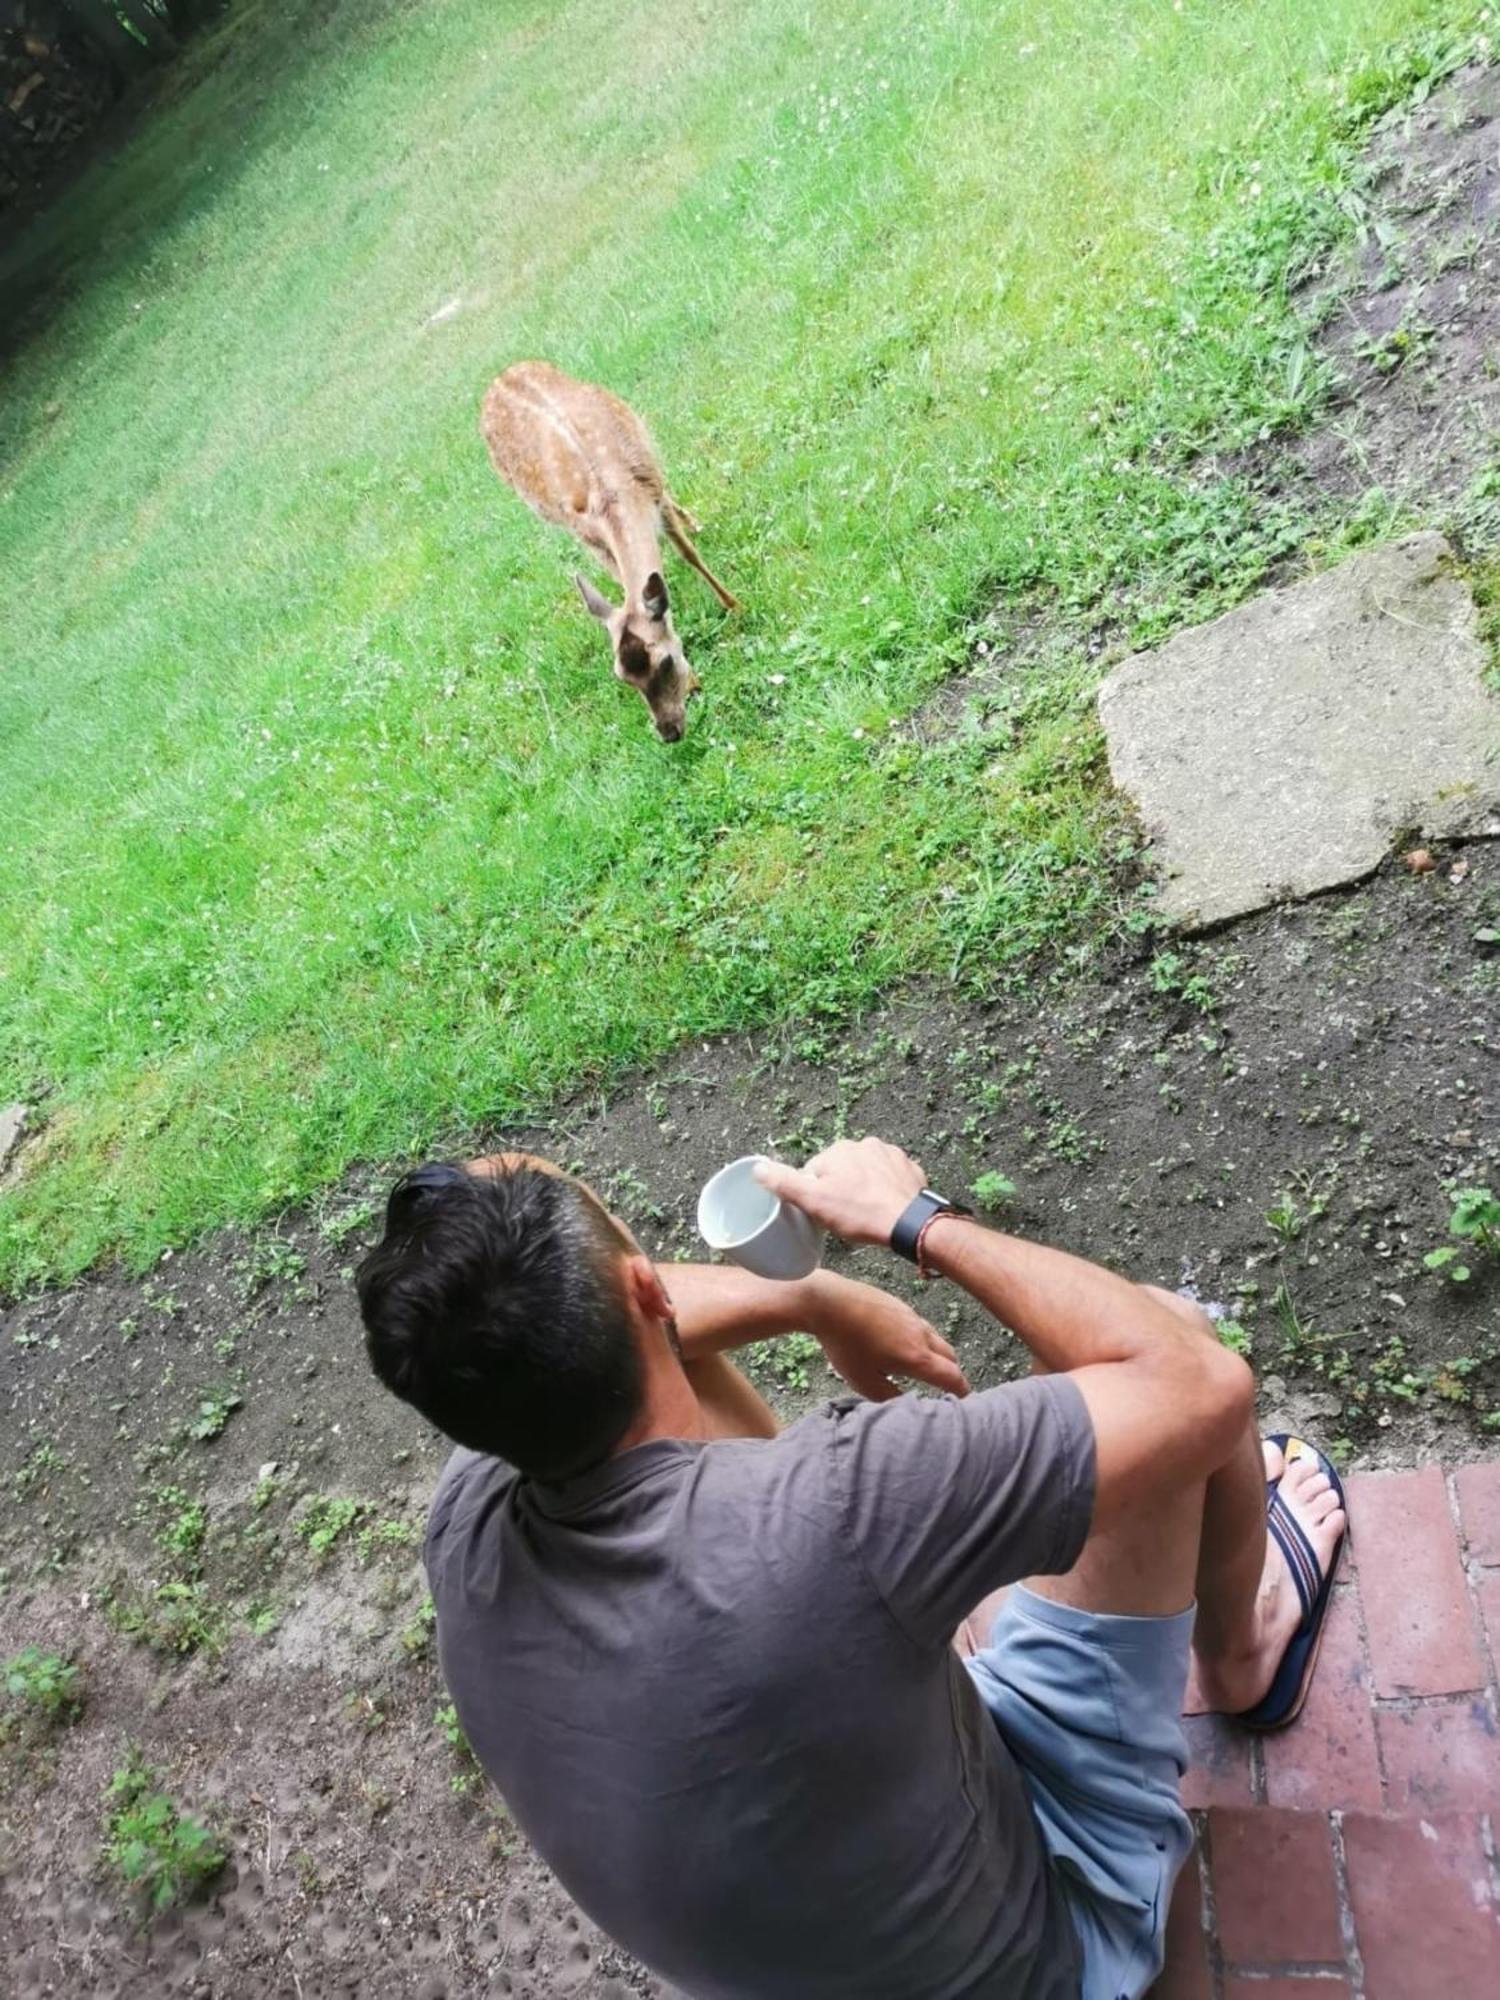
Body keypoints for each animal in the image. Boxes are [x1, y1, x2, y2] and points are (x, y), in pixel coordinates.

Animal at [482, 362, 740, 744]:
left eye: (664, 661)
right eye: (622, 677)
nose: (669, 731)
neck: (614, 494)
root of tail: (498, 378)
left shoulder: (652, 487)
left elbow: (688, 552)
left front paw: (734, 605)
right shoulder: (589, 536)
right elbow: (623, 579)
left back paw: (694, 522)